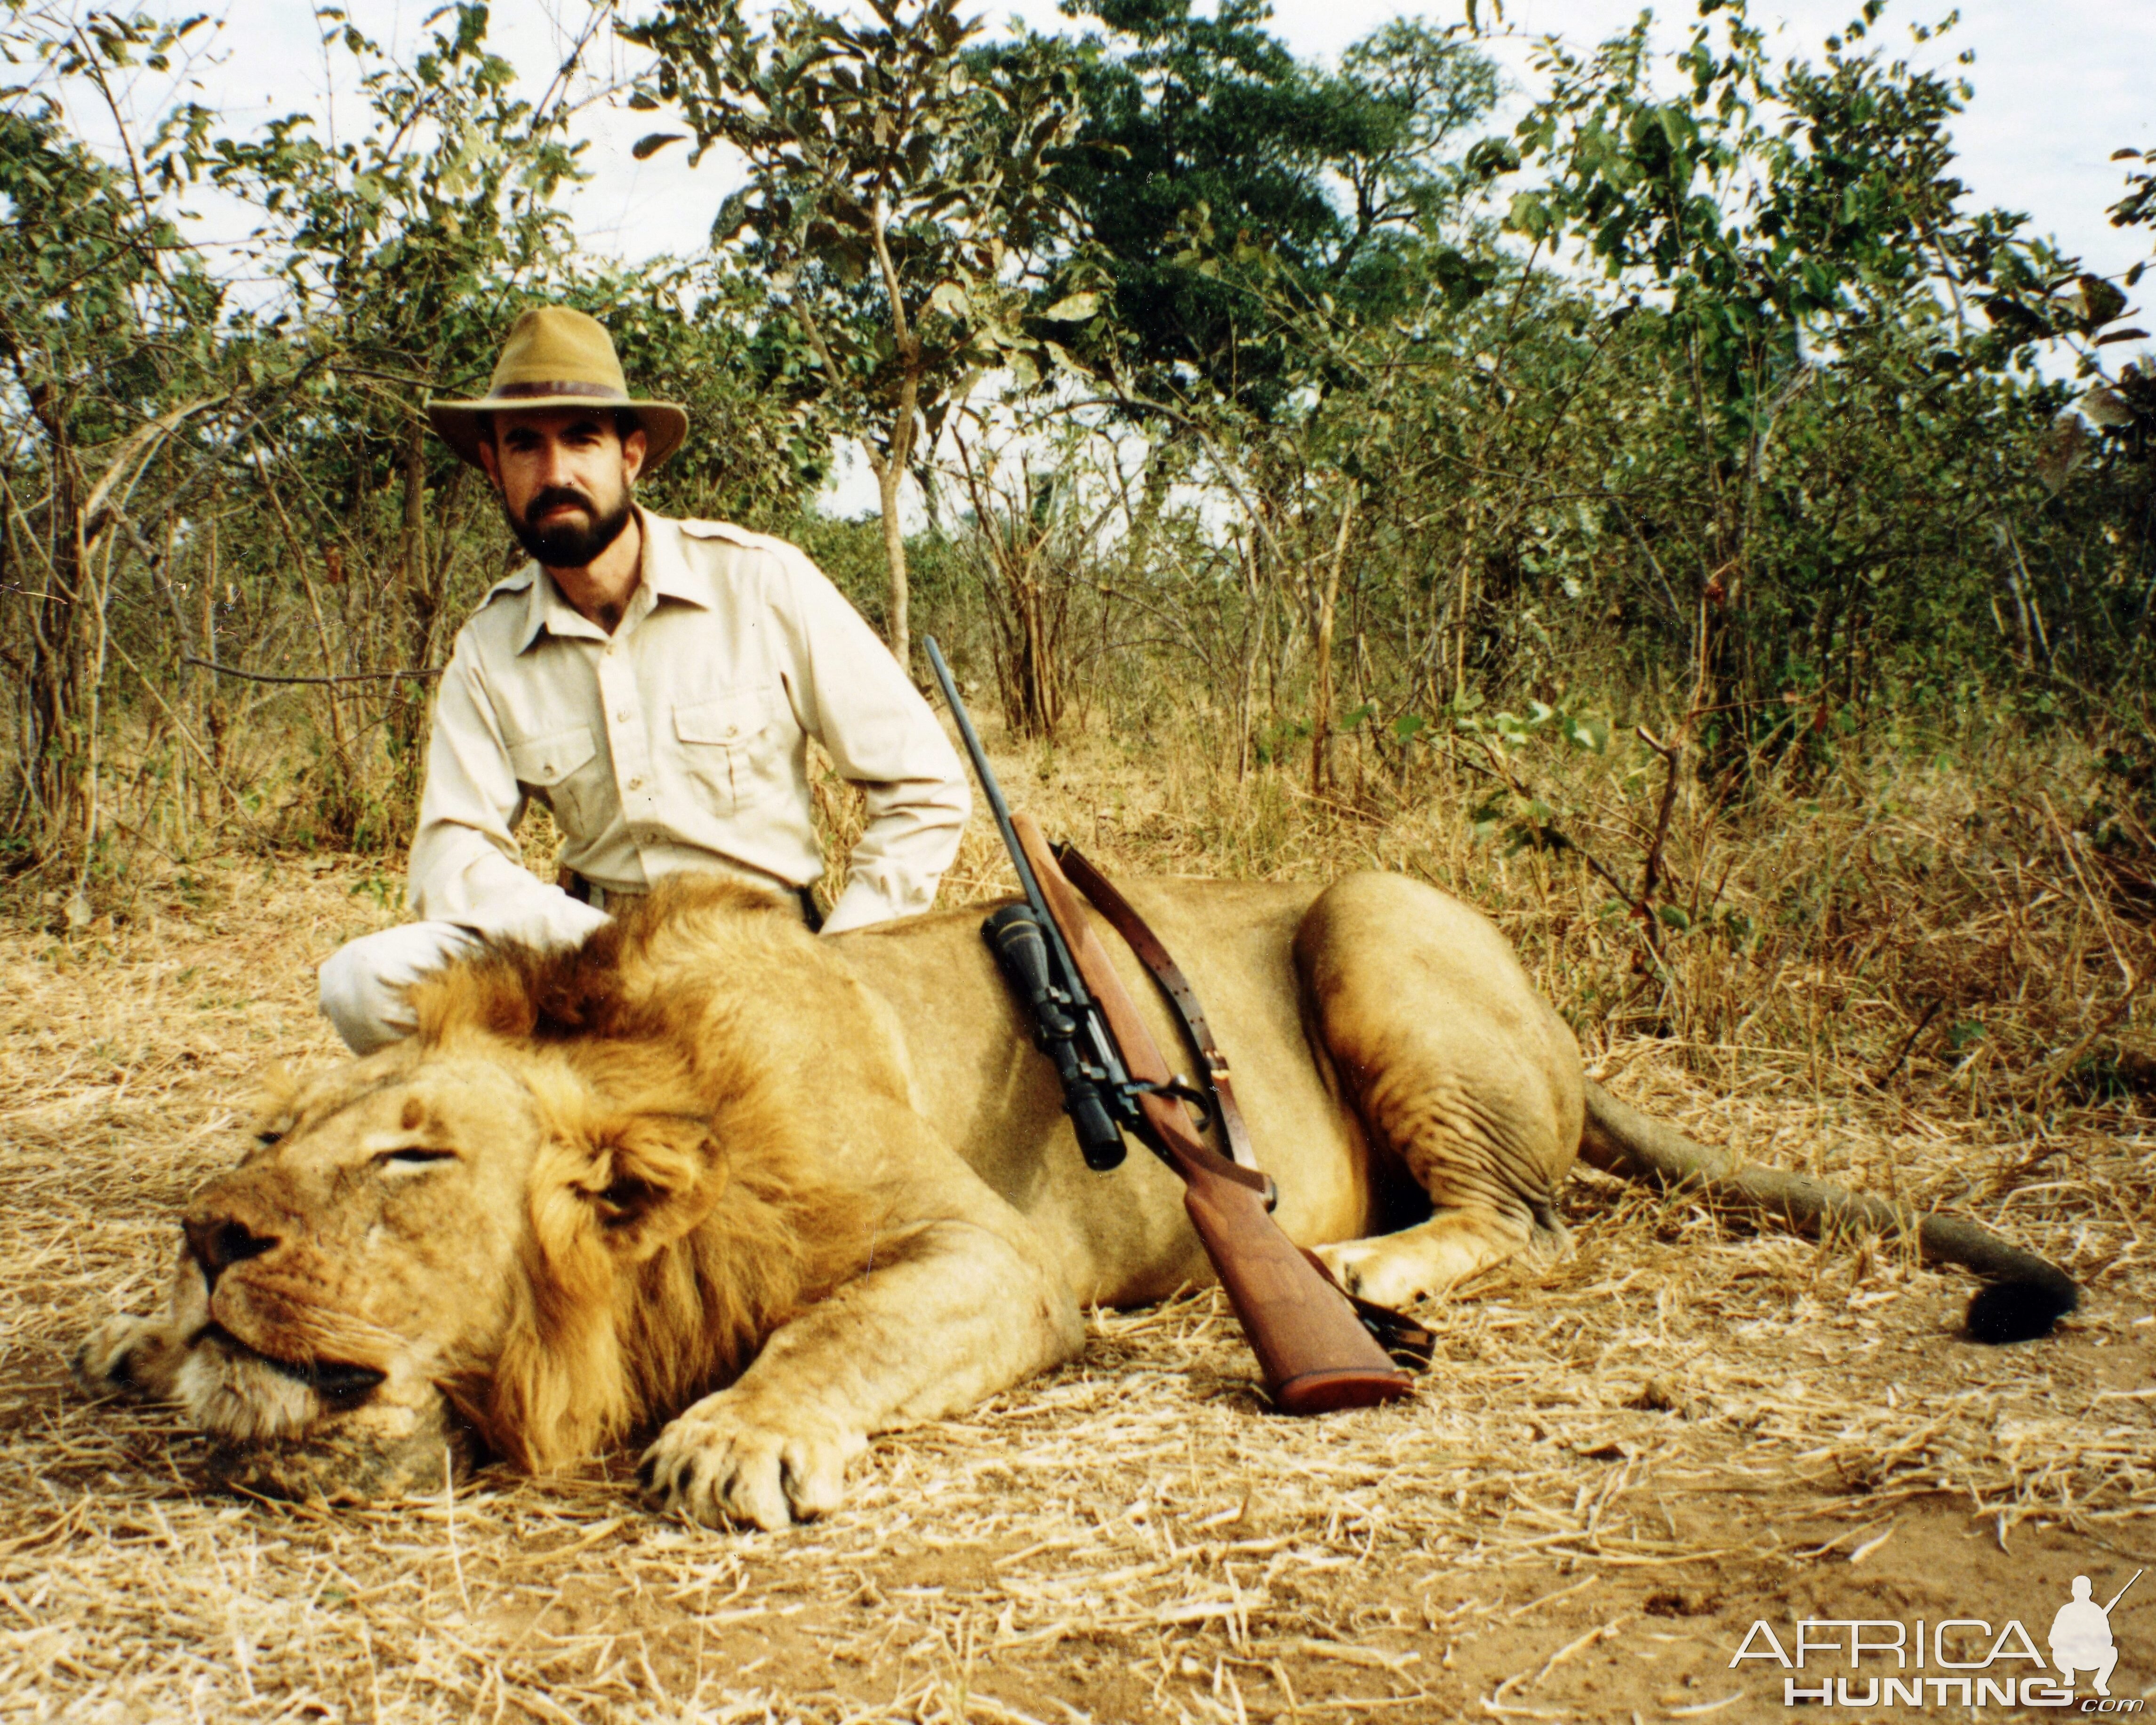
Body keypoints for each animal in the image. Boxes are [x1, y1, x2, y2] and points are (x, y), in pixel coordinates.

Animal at [80, 875, 2069, 1526]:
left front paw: (735, 1444)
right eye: (275, 1135)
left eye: (414, 1154)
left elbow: (832, 1327)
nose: (207, 1234)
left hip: (1371, 913)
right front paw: (147, 1349)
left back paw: (1365, 1265)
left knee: (1536, 1220)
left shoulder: (992, 1258)